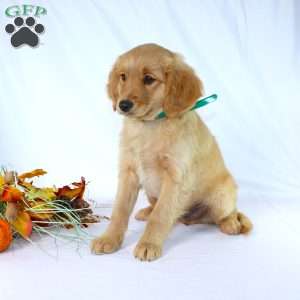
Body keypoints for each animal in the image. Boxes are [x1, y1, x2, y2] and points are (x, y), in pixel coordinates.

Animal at [91, 43, 251, 262]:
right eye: (123, 76)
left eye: (149, 79)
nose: (123, 105)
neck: (149, 126)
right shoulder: (128, 172)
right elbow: (120, 211)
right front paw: (109, 239)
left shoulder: (175, 177)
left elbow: (161, 216)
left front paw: (148, 244)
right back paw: (147, 211)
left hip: (222, 195)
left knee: (228, 212)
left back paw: (230, 223)